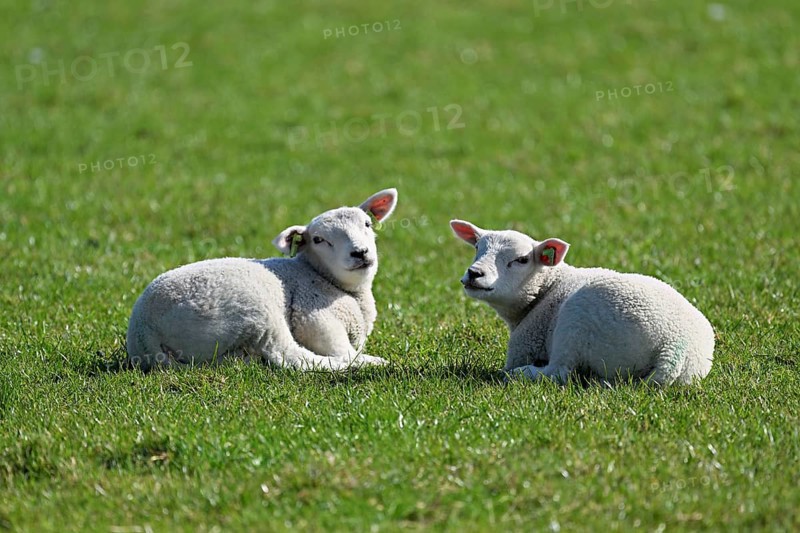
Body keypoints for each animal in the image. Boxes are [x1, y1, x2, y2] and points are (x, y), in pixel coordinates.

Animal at [125, 188, 399, 371]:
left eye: (367, 224)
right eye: (319, 240)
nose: (360, 252)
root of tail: (144, 332)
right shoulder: (312, 315)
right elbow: (337, 347)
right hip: (257, 314)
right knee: (292, 357)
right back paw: (365, 363)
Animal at [449, 220, 714, 385]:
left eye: (522, 259)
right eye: (477, 247)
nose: (474, 273)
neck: (547, 288)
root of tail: (673, 348)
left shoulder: (524, 343)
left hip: (576, 323)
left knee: (559, 373)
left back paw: (521, 374)